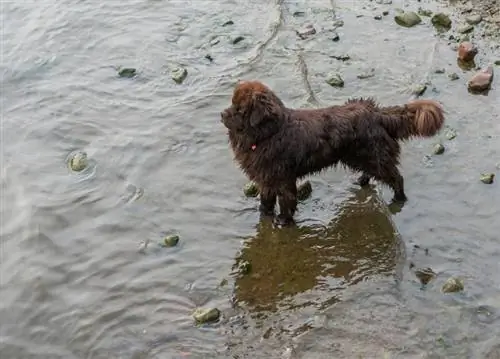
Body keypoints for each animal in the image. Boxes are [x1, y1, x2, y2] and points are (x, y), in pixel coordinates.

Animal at [221, 81, 444, 225]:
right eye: (232, 104)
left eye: (239, 109)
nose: (222, 113)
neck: (269, 134)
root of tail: (377, 112)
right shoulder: (266, 177)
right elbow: (266, 200)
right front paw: (263, 214)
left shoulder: (283, 177)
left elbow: (286, 200)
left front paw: (283, 221)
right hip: (361, 156)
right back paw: (363, 180)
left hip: (373, 156)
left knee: (396, 177)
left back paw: (399, 198)